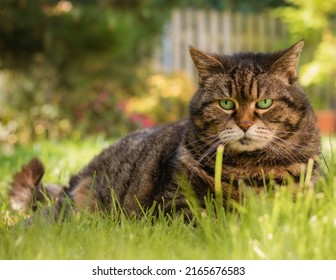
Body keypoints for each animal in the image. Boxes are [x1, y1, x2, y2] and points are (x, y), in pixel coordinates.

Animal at [9, 41, 320, 219]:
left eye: (264, 103)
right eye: (226, 103)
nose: (244, 124)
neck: (250, 168)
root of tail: (74, 179)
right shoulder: (175, 204)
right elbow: (211, 220)